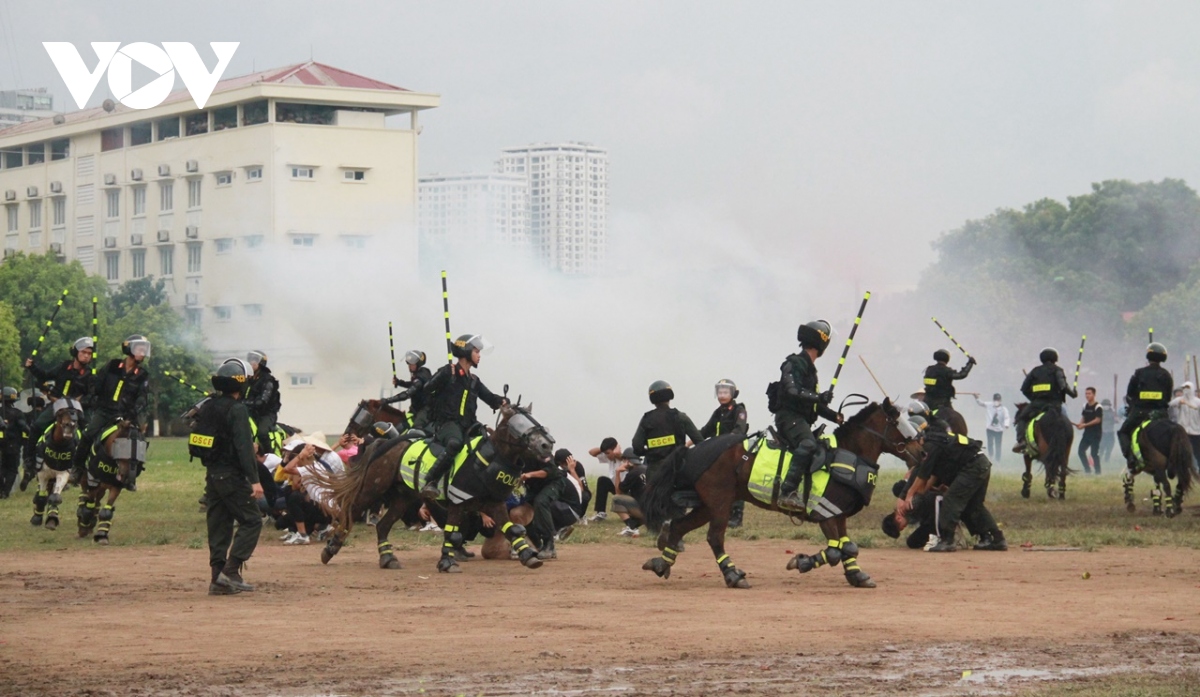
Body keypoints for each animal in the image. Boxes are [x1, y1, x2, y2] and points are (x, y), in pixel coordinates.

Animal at [321, 403, 559, 571]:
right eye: (520, 424)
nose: (547, 445)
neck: (483, 462)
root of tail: (384, 443)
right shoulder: (457, 502)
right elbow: (453, 534)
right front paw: (447, 562)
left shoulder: (494, 503)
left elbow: (512, 528)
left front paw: (528, 555)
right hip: (373, 489)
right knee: (352, 511)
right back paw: (331, 548)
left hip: (403, 498)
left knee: (382, 526)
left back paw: (388, 558)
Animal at [638, 395, 916, 587]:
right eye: (899, 422)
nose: (922, 451)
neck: (848, 454)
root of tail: (693, 450)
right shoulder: (823, 513)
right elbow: (836, 550)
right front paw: (802, 562)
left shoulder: (838, 514)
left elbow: (848, 547)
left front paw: (857, 575)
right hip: (720, 503)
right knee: (714, 538)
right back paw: (732, 574)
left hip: (709, 505)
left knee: (679, 526)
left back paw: (662, 562)